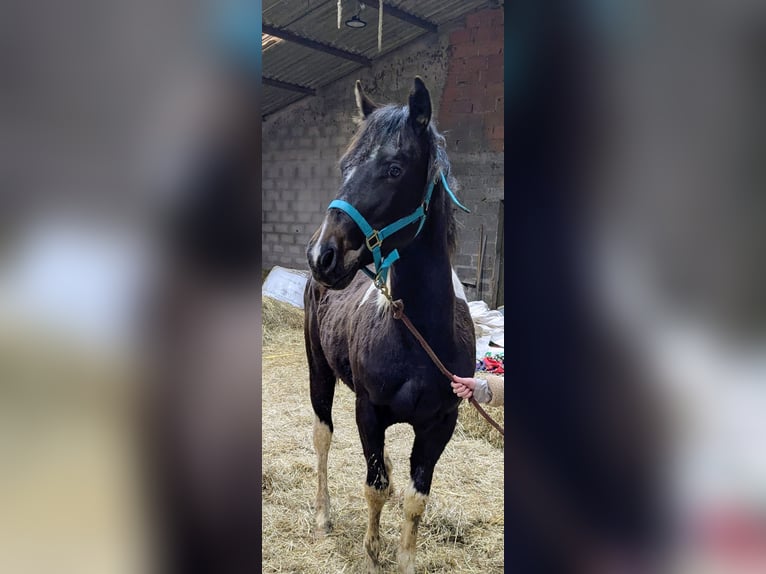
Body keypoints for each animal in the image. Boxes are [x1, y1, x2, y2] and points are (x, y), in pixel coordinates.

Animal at [304, 77, 476, 573]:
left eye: (395, 168)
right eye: (344, 165)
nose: (322, 255)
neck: (418, 335)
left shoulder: (441, 423)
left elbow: (416, 499)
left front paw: (404, 559)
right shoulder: (369, 412)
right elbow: (374, 487)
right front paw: (372, 550)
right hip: (318, 370)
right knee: (322, 437)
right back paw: (322, 517)